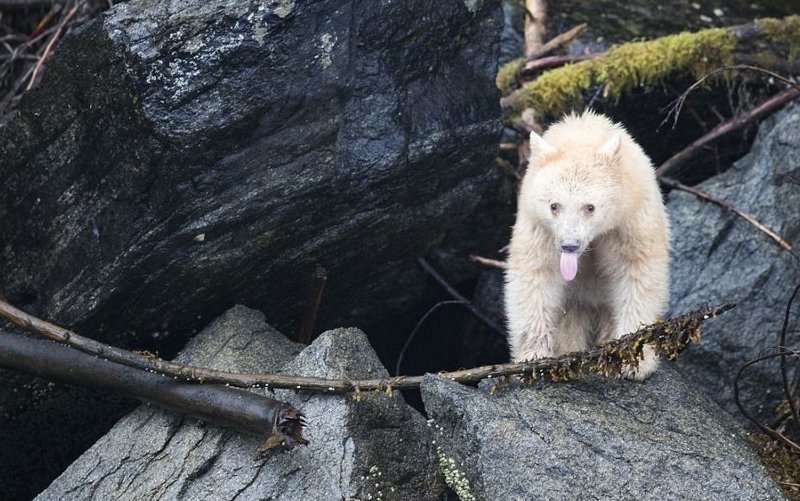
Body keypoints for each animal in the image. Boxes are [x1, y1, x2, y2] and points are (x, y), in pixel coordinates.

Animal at [506, 110, 668, 378]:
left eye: (590, 207)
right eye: (554, 205)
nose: (569, 245)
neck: (584, 136)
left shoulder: (631, 220)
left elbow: (637, 272)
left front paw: (633, 360)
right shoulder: (539, 227)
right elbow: (535, 277)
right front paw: (533, 359)